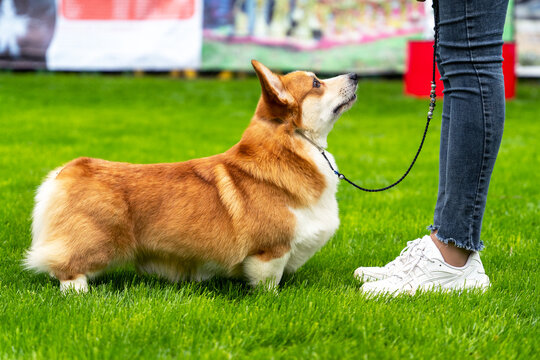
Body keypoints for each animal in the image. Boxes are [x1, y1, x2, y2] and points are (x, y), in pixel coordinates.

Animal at [25, 61, 358, 292]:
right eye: (316, 83)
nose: (355, 75)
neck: (292, 145)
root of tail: (66, 170)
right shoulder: (271, 251)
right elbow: (268, 284)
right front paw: (272, 300)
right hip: (97, 241)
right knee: (67, 270)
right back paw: (81, 295)